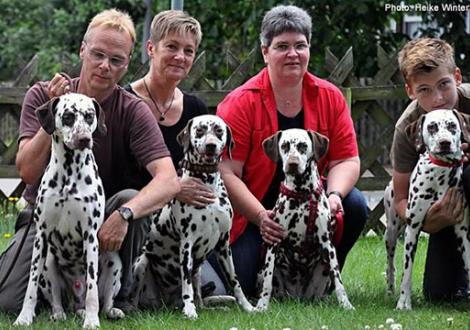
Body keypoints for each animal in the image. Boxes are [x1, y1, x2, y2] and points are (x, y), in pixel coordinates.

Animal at [15, 93, 123, 330]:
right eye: (68, 116)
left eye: (89, 115)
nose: (84, 139)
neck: (68, 175)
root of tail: (76, 299)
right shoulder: (41, 236)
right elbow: (30, 286)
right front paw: (24, 317)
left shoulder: (90, 236)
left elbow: (92, 289)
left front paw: (92, 321)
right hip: (48, 263)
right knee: (56, 300)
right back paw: (59, 313)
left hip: (114, 262)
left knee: (103, 300)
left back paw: (106, 311)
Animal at [132, 114, 255, 318]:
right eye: (200, 130)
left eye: (218, 131)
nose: (211, 145)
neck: (208, 184)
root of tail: (168, 303)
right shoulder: (187, 244)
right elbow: (186, 282)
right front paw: (189, 310)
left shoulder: (224, 245)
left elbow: (234, 280)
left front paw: (248, 306)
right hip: (141, 262)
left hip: (199, 270)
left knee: (200, 298)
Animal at [258, 127, 352, 310]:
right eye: (285, 146)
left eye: (303, 146)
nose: (292, 164)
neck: (302, 194)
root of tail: (298, 297)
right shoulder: (273, 242)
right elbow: (267, 279)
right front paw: (261, 305)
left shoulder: (327, 244)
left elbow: (338, 280)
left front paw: (346, 304)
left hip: (323, 270)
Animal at [384, 110, 470, 310]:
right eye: (432, 127)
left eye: (452, 125)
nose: (444, 142)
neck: (441, 173)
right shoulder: (412, 229)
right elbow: (407, 274)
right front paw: (403, 303)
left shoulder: (463, 232)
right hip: (391, 233)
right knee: (391, 264)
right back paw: (391, 288)